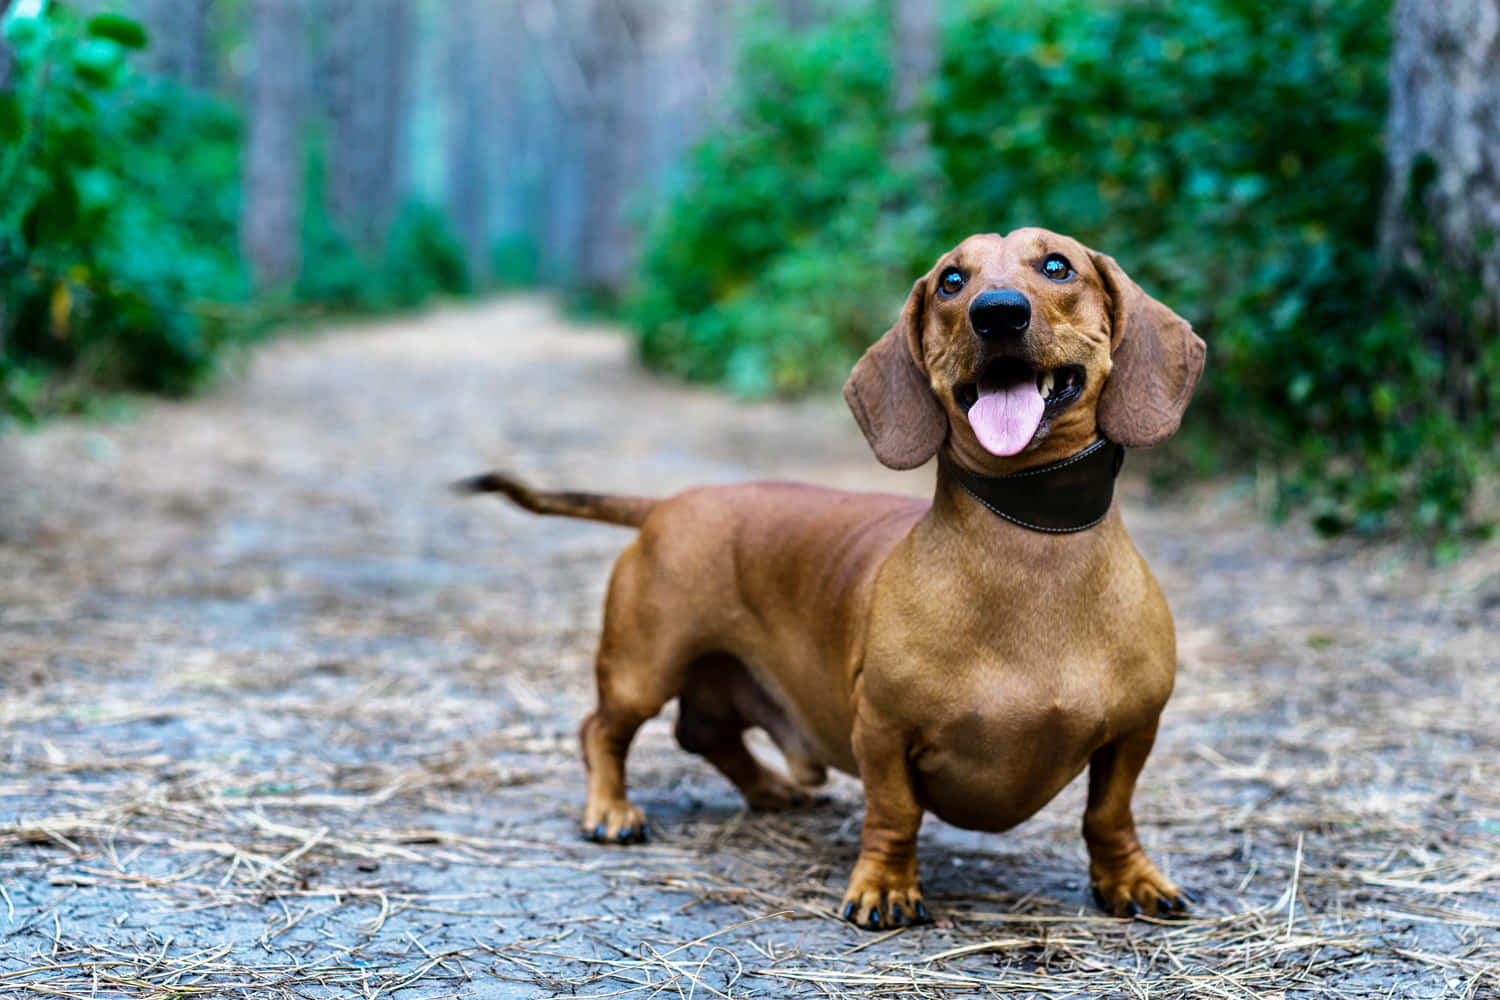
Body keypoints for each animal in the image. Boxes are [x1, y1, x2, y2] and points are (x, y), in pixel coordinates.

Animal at [456, 229, 1206, 929]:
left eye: (1057, 266)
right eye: (950, 280)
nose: (996, 313)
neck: (1031, 540)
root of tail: (668, 503)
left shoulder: (1135, 730)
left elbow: (1108, 814)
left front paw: (1130, 881)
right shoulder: (881, 728)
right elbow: (895, 813)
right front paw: (885, 887)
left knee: (704, 734)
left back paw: (769, 790)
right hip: (644, 665)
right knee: (602, 731)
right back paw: (612, 810)